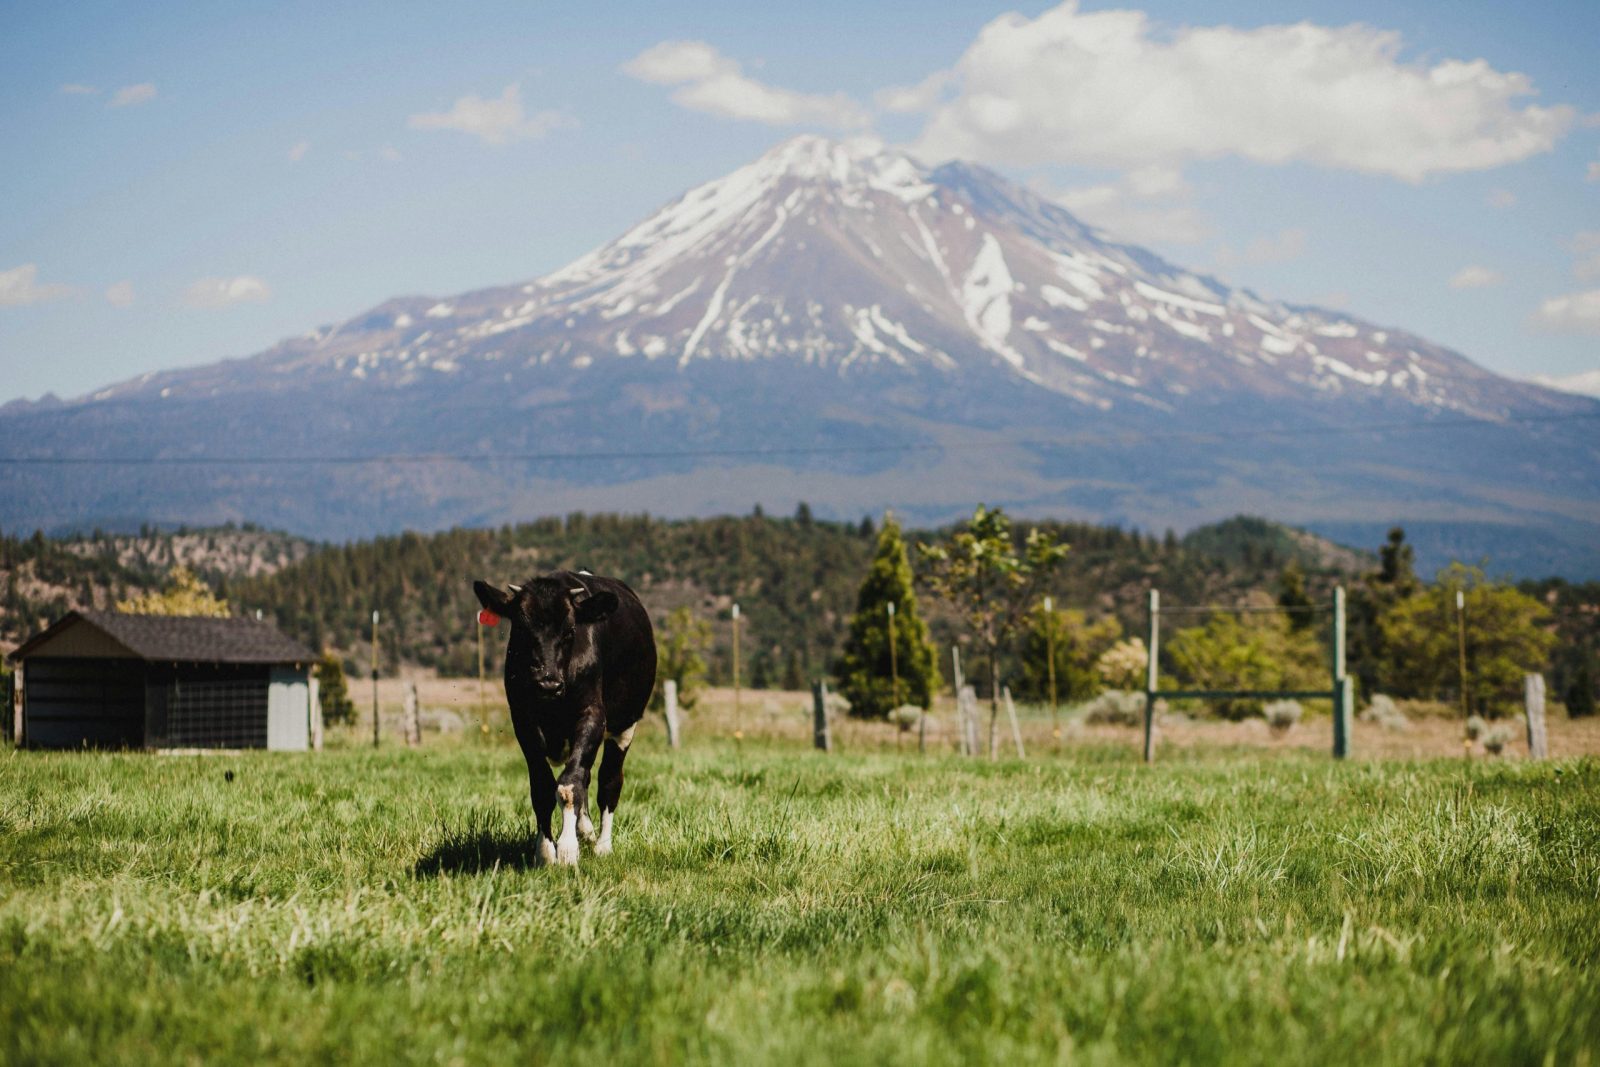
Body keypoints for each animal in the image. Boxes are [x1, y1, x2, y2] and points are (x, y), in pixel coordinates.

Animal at [473, 571, 656, 867]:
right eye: (522, 630)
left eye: (570, 631)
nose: (548, 683)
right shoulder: (523, 720)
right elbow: (543, 786)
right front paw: (546, 850)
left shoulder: (592, 716)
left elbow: (570, 784)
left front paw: (568, 849)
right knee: (586, 776)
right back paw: (586, 831)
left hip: (625, 724)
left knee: (609, 780)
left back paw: (603, 845)